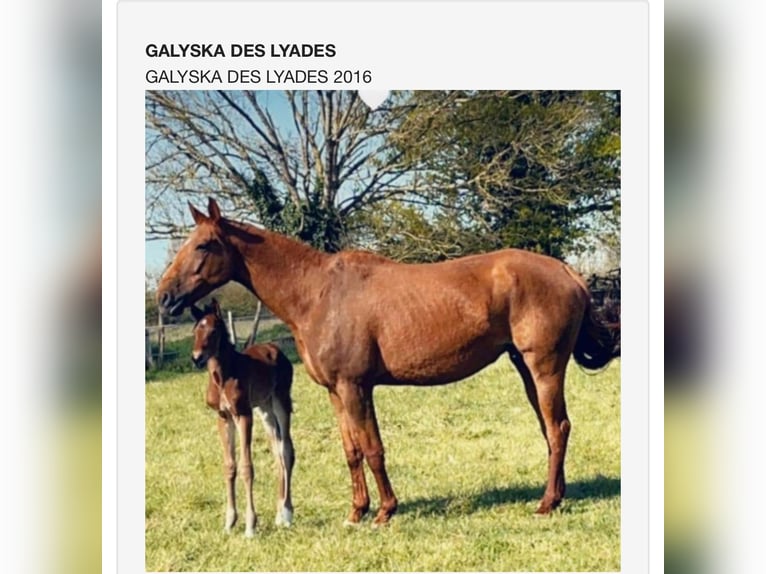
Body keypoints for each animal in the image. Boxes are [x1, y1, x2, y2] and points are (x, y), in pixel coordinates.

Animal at [189, 298, 295, 536]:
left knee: (287, 451)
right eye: (195, 330)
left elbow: (247, 467)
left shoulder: (244, 415)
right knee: (277, 452)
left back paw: (286, 513)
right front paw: (229, 522)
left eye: (213, 330)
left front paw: (250, 525)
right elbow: (229, 466)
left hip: (280, 402)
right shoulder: (223, 417)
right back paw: (278, 514)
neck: (222, 376)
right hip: (265, 410)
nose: (197, 358)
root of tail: (276, 350)